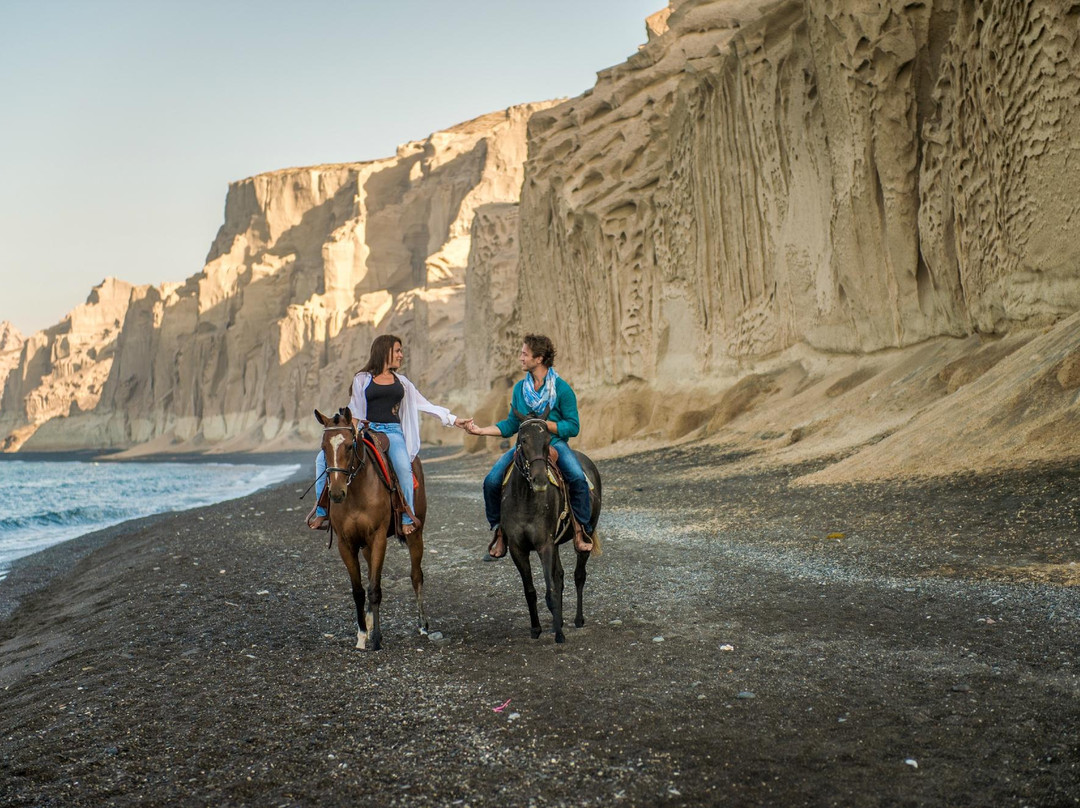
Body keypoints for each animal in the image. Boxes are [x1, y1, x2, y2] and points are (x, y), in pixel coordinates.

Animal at [313, 404, 425, 648]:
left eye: (349, 445)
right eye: (323, 447)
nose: (336, 493)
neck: (356, 492)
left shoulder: (378, 537)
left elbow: (374, 588)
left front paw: (376, 639)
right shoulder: (346, 544)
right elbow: (358, 590)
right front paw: (363, 634)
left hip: (415, 534)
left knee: (416, 575)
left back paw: (423, 625)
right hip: (365, 547)